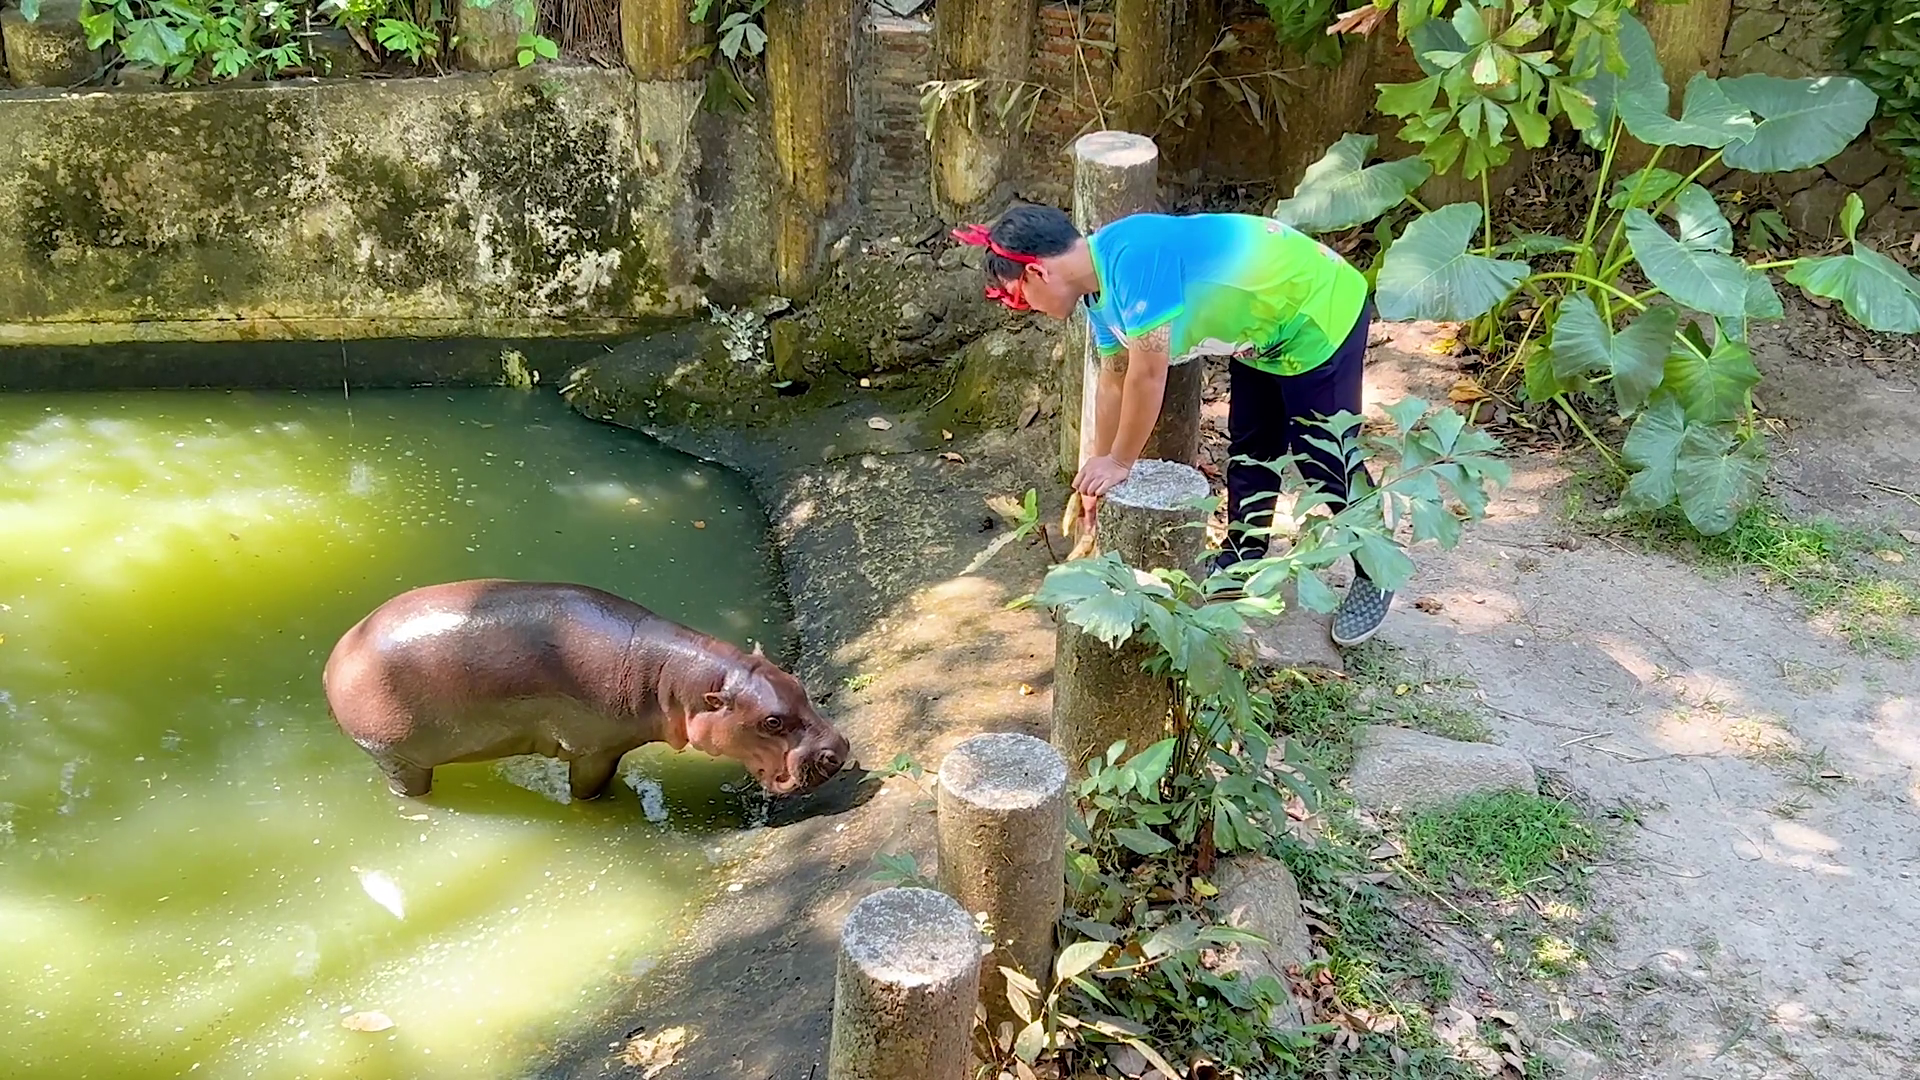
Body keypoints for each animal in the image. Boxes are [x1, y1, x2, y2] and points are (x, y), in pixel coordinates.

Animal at [322, 579, 850, 801]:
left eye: (797, 684)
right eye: (771, 721)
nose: (840, 749)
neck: (674, 680)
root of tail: (335, 658)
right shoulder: (594, 749)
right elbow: (589, 788)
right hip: (398, 757)